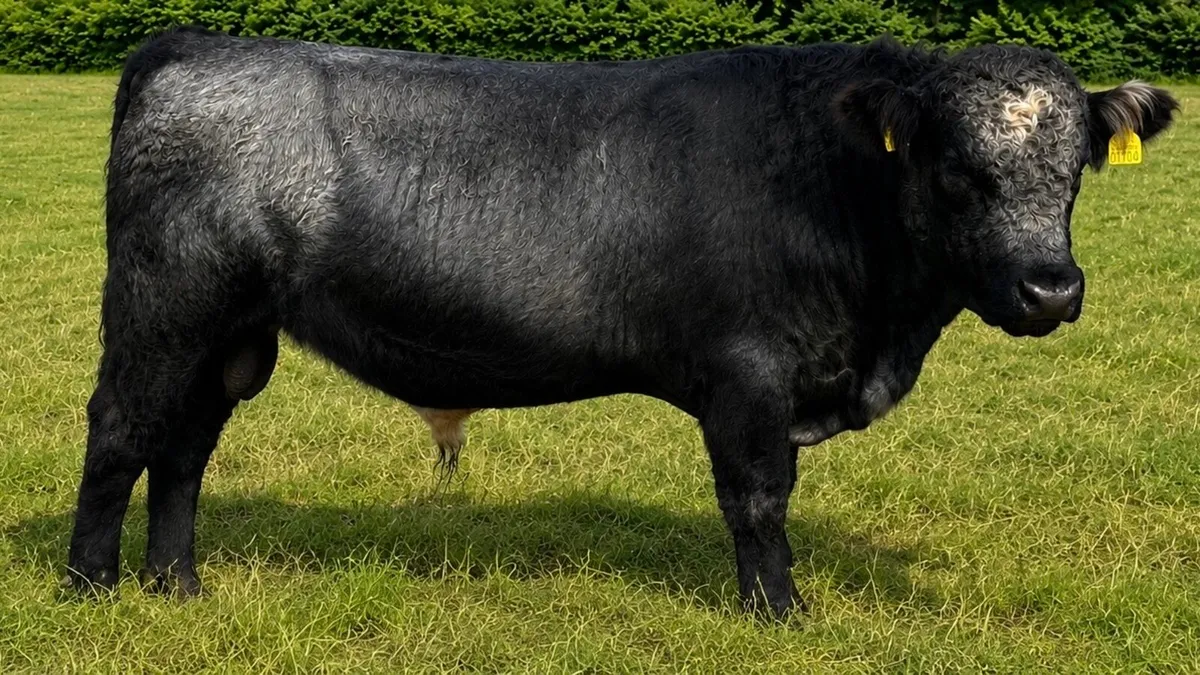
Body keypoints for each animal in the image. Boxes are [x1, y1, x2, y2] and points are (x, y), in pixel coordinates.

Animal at [64, 27, 1177, 619]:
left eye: (1076, 169)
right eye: (956, 170)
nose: (1050, 290)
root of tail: (199, 44)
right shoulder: (747, 376)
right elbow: (759, 500)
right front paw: (778, 613)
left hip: (230, 340)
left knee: (184, 450)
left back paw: (177, 583)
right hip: (163, 310)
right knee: (120, 433)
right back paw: (91, 585)